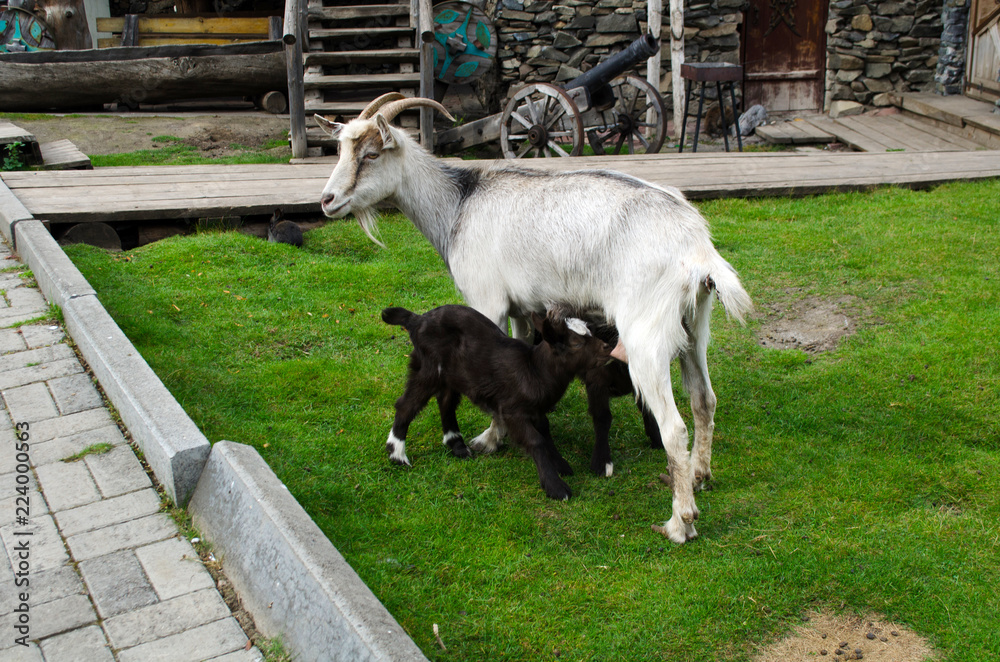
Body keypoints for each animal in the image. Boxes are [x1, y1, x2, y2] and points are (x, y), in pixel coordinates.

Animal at [381, 304, 614, 500]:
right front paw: (556, 487)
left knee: (445, 401)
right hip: (429, 367)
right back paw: (398, 454)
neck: (534, 370)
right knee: (406, 405)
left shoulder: (536, 409)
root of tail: (417, 320)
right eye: (576, 343)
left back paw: (457, 446)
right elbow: (535, 441)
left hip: (450, 375)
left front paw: (561, 465)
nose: (607, 347)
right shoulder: (512, 410)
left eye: (590, 332)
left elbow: (545, 432)